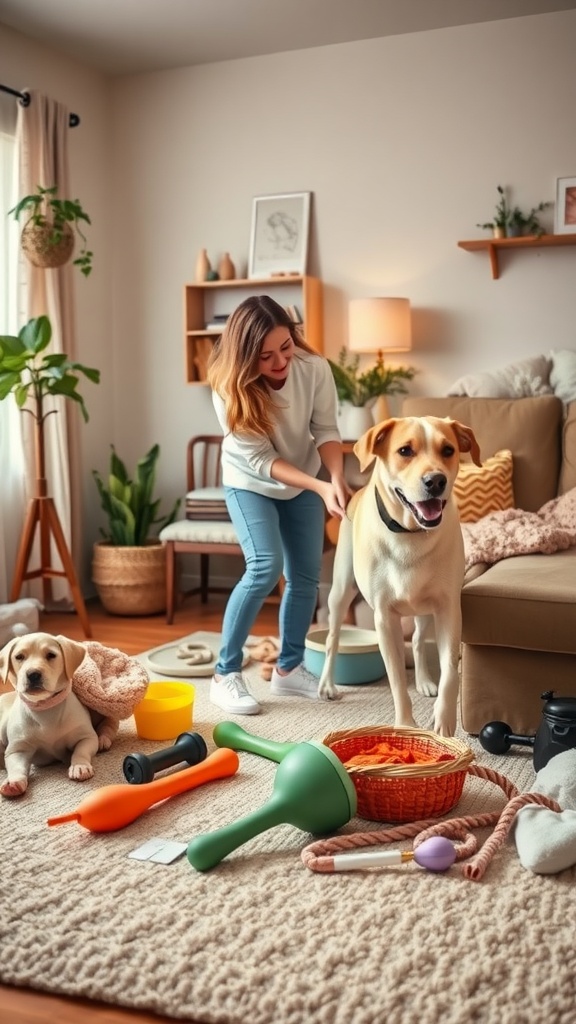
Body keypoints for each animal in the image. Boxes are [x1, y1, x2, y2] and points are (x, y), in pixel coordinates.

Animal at [0, 630, 117, 798]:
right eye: (19, 656)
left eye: (51, 655)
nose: (33, 674)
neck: (45, 709)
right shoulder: (18, 749)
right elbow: (16, 767)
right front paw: (13, 782)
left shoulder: (86, 737)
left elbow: (81, 751)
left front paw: (79, 766)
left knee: (108, 725)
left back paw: (103, 739)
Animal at [317, 415, 479, 737]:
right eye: (405, 451)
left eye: (448, 450)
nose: (435, 481)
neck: (410, 534)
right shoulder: (384, 617)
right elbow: (395, 681)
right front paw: (405, 725)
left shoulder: (448, 608)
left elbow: (450, 672)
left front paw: (443, 723)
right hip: (340, 591)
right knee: (332, 638)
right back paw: (327, 684)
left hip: (425, 607)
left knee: (416, 639)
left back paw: (425, 681)